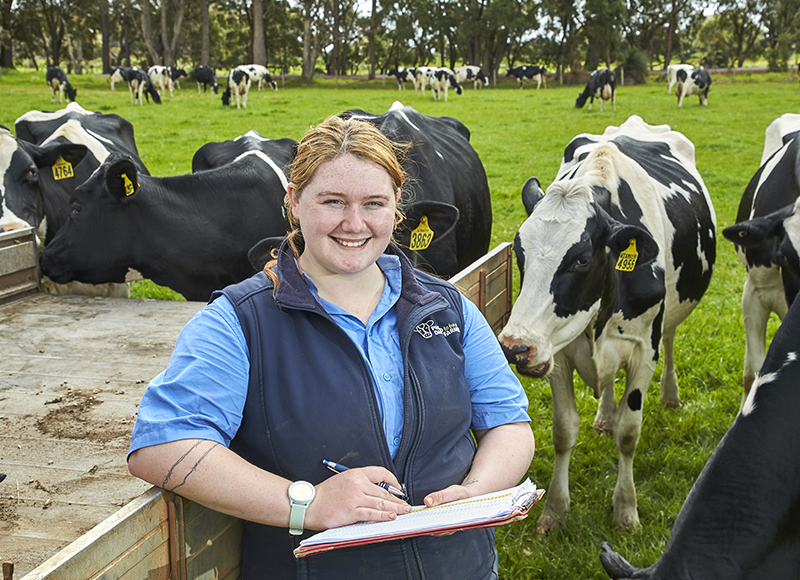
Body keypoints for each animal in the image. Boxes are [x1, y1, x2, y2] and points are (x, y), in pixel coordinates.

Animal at [500, 114, 720, 536]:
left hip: (670, 317)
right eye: (519, 252)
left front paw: (626, 510)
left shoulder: (642, 349)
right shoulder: (558, 352)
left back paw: (670, 395)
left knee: (670, 339)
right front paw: (555, 511)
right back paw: (603, 415)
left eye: (581, 259)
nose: (515, 346)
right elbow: (564, 431)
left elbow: (629, 433)